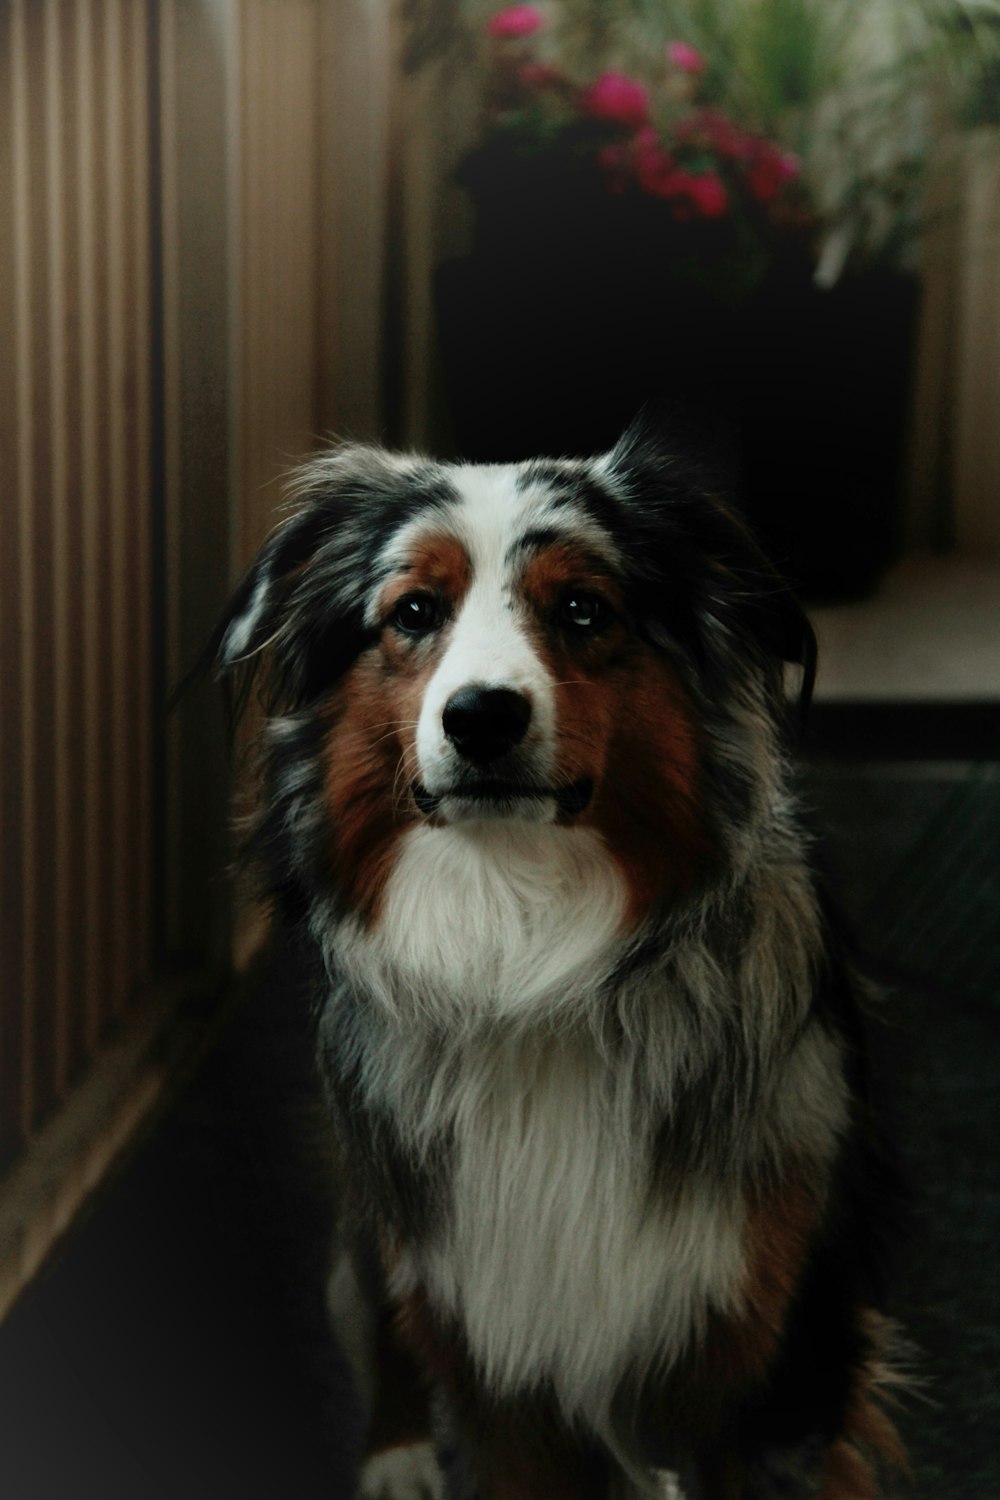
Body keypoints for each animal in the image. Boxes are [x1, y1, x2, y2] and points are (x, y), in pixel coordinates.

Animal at [211, 420, 905, 1500]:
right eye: (414, 611)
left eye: (582, 608)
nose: (481, 717)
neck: (527, 957)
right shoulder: (493, 1343)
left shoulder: (775, 1345)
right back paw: (396, 1450)